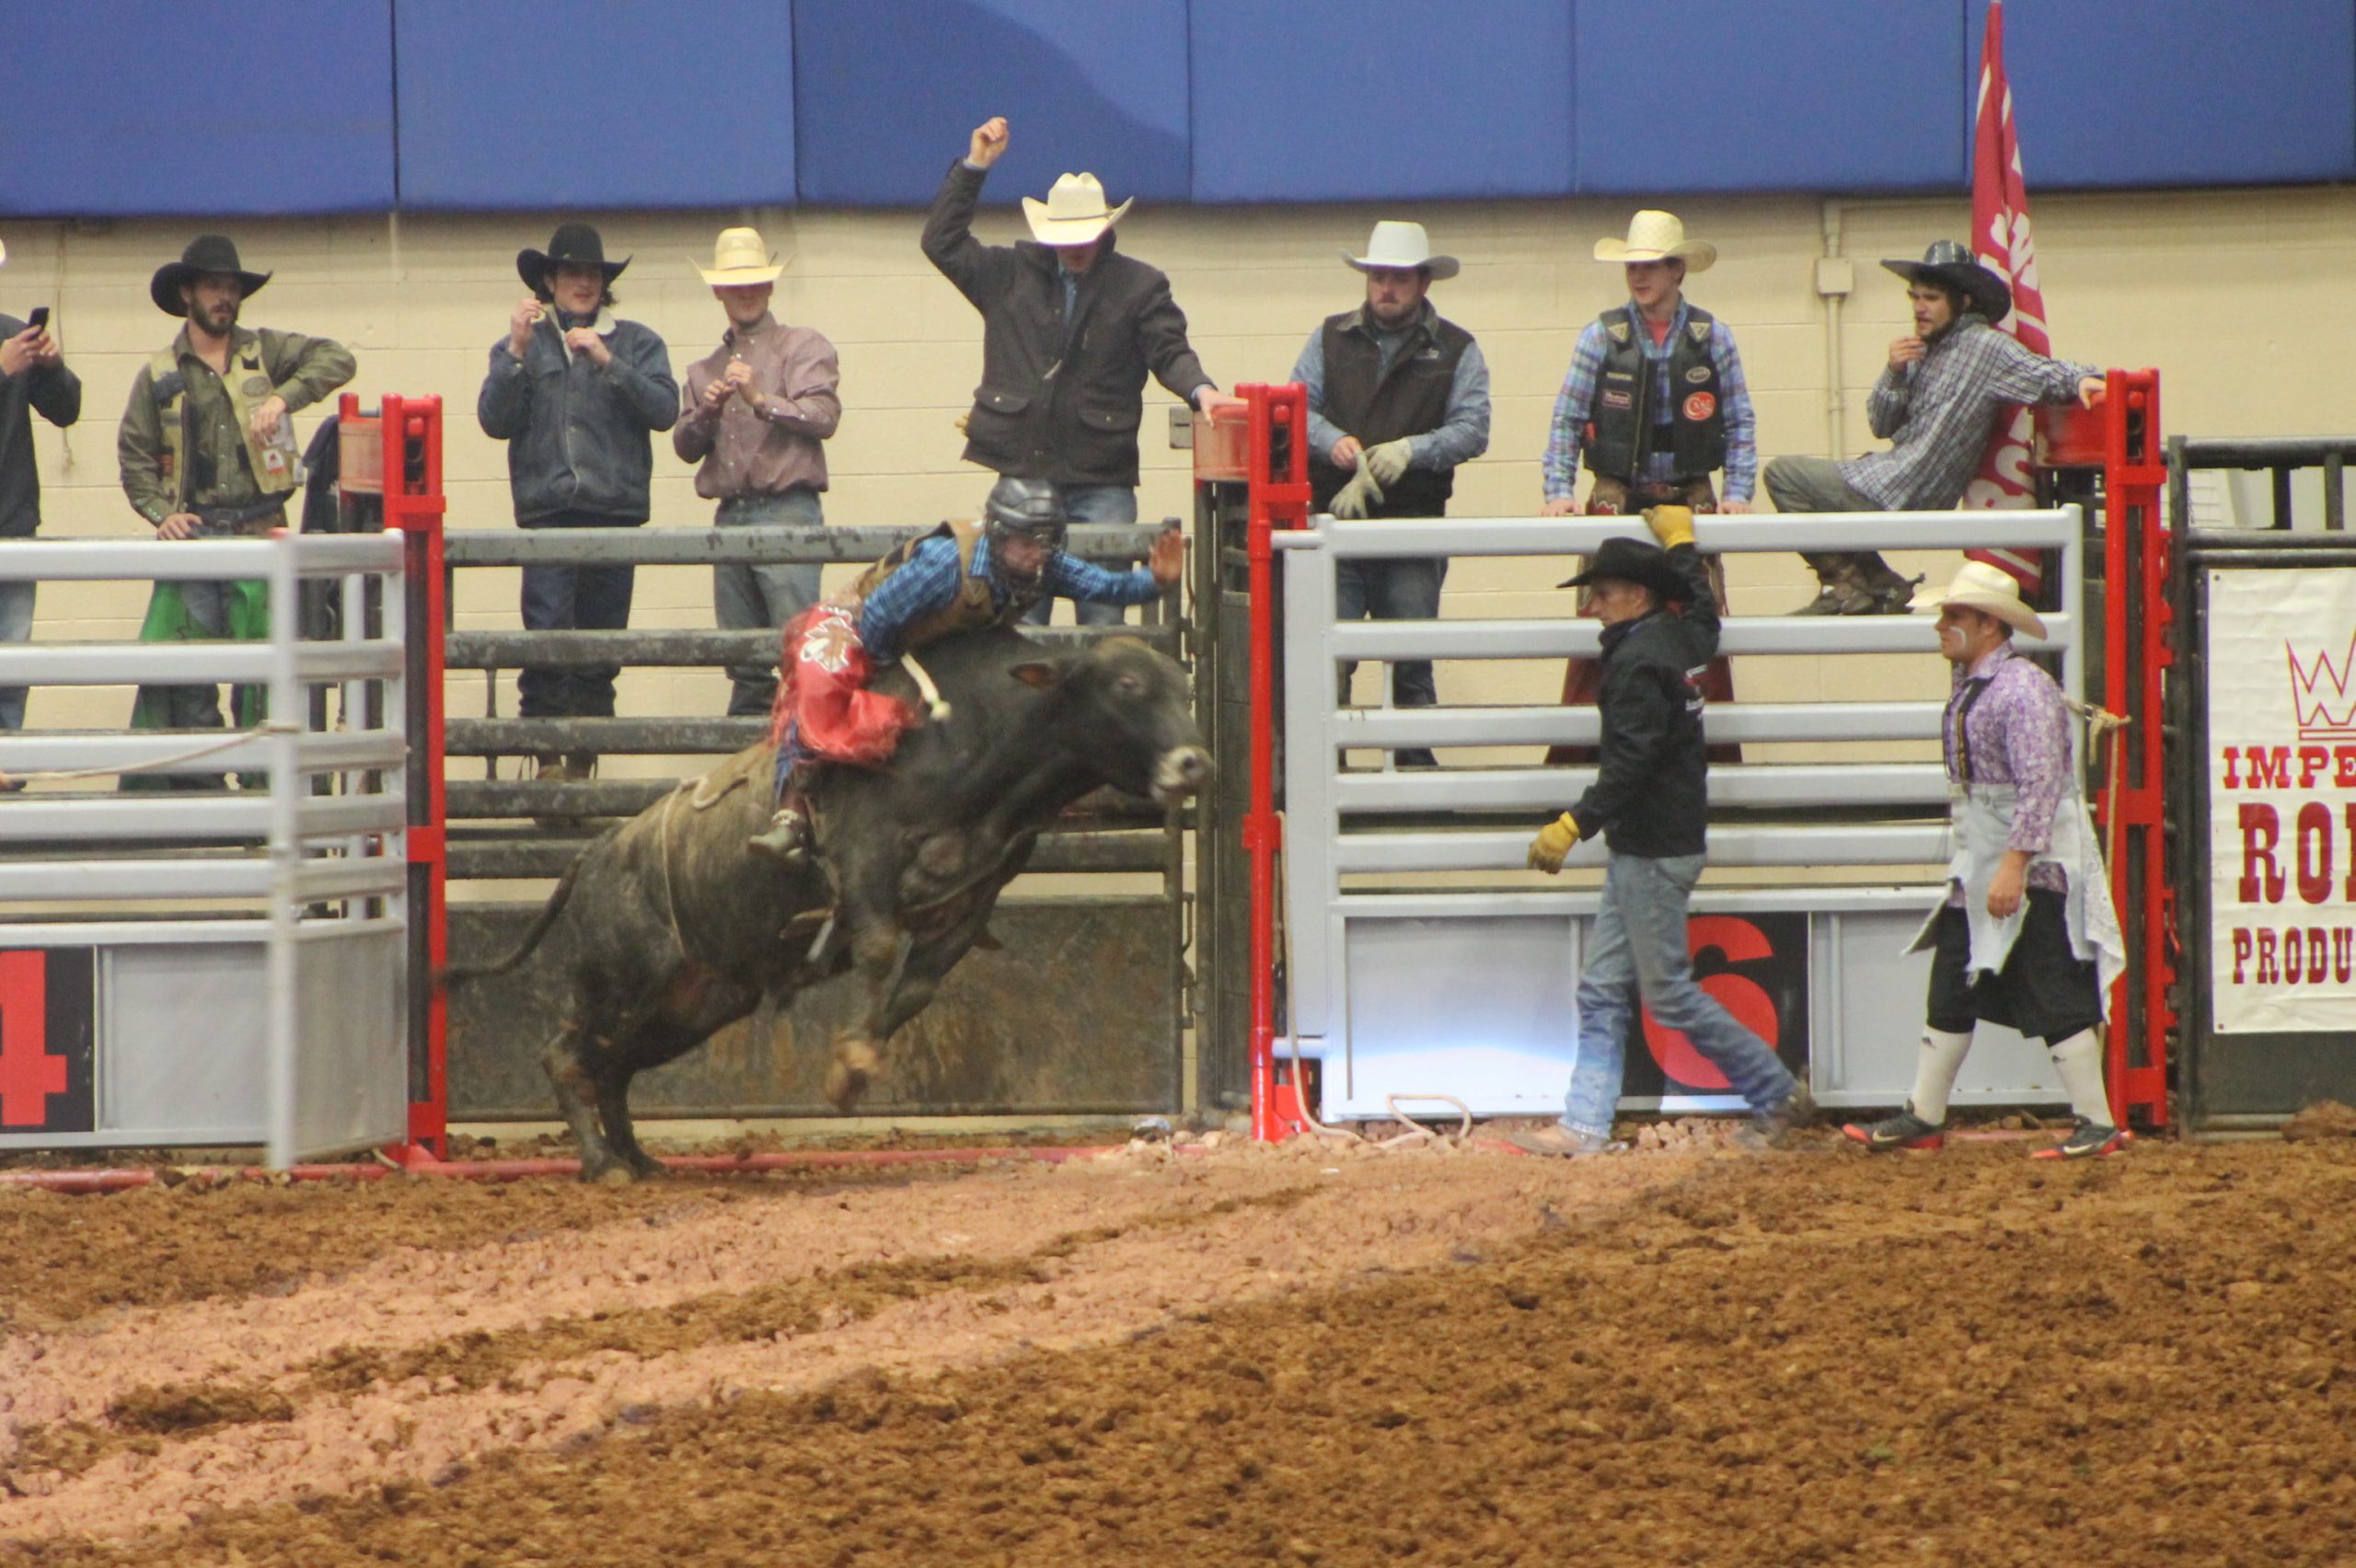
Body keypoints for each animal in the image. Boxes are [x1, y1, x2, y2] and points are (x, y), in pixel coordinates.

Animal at [445, 621, 1215, 1172]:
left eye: (1184, 688)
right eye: (1126, 684)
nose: (1194, 762)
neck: (978, 745)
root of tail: (596, 855)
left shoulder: (968, 907)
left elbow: (916, 989)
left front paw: (857, 1063)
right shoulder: (864, 863)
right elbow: (876, 950)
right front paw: (850, 1068)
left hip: (691, 1005)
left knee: (612, 1070)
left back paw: (639, 1160)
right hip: (619, 982)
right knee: (566, 1056)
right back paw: (602, 1163)